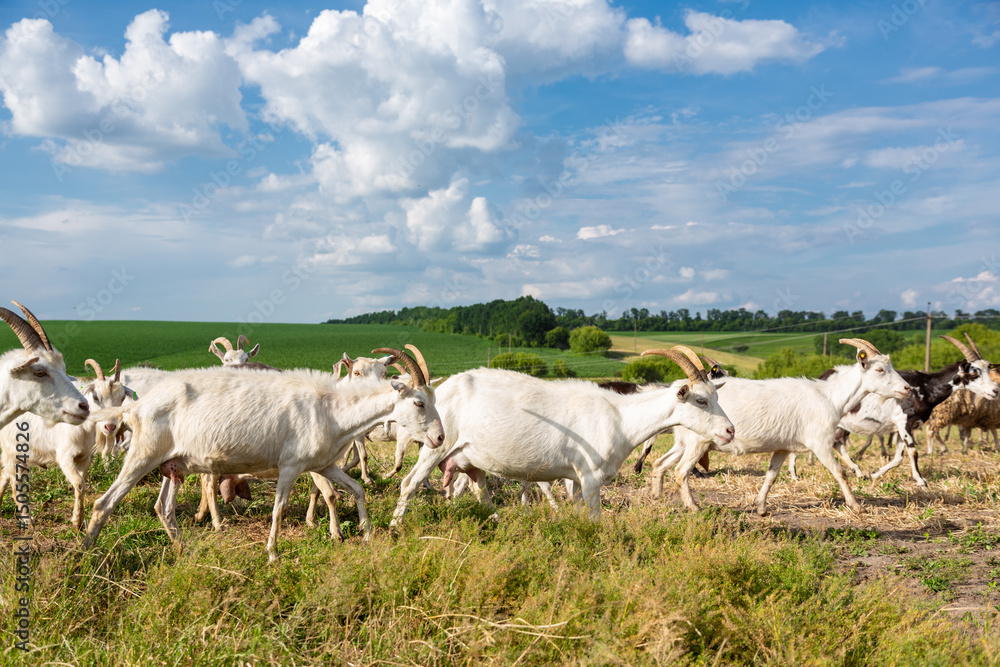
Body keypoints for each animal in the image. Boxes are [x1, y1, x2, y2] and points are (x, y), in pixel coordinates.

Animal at [0, 359, 133, 529]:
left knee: (5, 475)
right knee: (13, 480)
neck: (83, 428)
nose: (110, 427)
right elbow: (79, 482)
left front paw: (79, 521)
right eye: (96, 397)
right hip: (12, 450)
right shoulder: (64, 456)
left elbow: (82, 481)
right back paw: (27, 519)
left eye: (122, 398)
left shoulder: (85, 457)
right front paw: (77, 521)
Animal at [83, 347, 441, 561]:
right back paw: (86, 553)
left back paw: (184, 550)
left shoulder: (324, 464)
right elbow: (279, 510)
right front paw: (273, 553)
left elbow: (356, 489)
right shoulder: (291, 466)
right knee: (105, 502)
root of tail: (137, 406)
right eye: (419, 402)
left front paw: (366, 535)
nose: (439, 437)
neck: (330, 408)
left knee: (163, 507)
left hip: (173, 465)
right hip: (144, 453)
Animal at [389, 347, 734, 527]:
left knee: (480, 492)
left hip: (471, 460)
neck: (621, 417)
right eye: (700, 400)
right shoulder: (591, 475)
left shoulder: (578, 479)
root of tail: (442, 389)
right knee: (409, 483)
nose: (729, 430)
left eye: (716, 396)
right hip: (437, 443)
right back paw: (395, 527)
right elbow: (595, 518)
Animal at [649, 339, 910, 514]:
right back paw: (693, 507)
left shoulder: (783, 447)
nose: (907, 389)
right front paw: (856, 506)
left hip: (683, 441)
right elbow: (839, 472)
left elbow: (771, 475)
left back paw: (656, 498)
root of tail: (677, 388)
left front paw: (761, 508)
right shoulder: (819, 442)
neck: (829, 396)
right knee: (680, 471)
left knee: (660, 463)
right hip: (698, 441)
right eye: (880, 369)